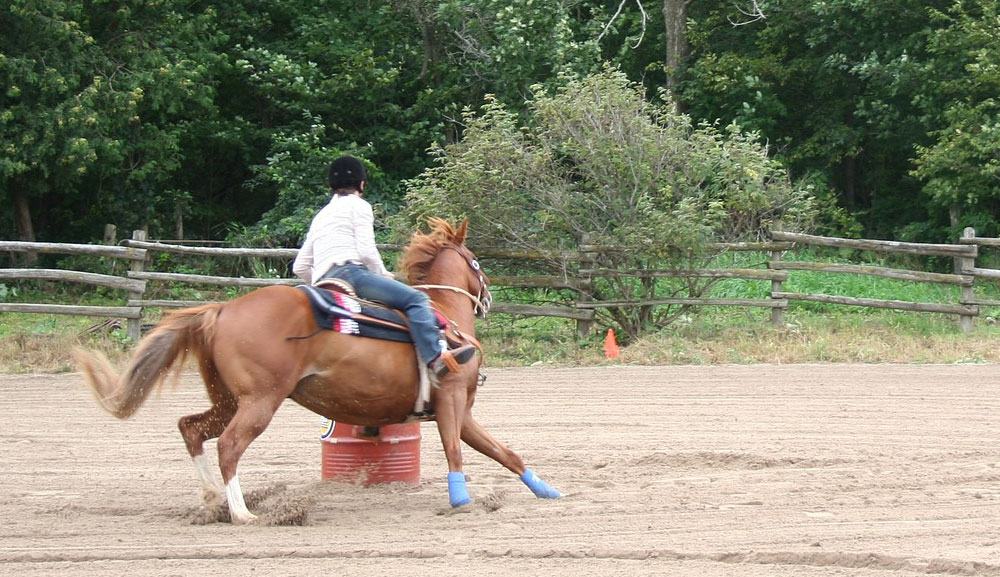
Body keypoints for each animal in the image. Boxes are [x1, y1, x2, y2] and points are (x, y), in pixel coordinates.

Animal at [76, 218, 564, 524]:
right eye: (476, 262)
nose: (488, 298)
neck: (444, 315)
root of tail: (220, 309)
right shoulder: (451, 399)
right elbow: (455, 450)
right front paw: (461, 499)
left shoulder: (461, 410)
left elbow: (504, 452)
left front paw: (545, 490)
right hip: (260, 401)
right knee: (230, 445)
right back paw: (242, 512)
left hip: (227, 398)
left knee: (191, 428)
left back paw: (214, 500)